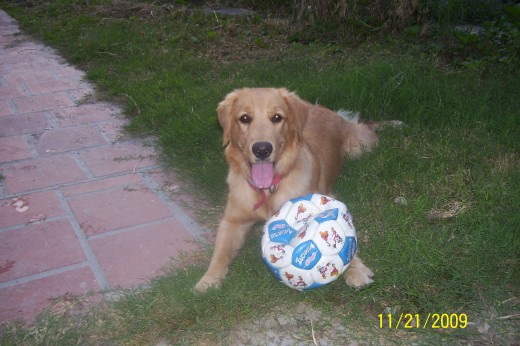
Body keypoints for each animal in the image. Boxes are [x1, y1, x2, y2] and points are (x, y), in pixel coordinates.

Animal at [193, 87, 380, 292]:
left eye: (277, 117)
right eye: (244, 118)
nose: (262, 149)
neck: (267, 190)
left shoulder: (325, 197)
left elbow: (345, 234)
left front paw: (356, 269)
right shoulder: (232, 220)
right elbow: (220, 252)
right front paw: (208, 280)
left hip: (359, 147)